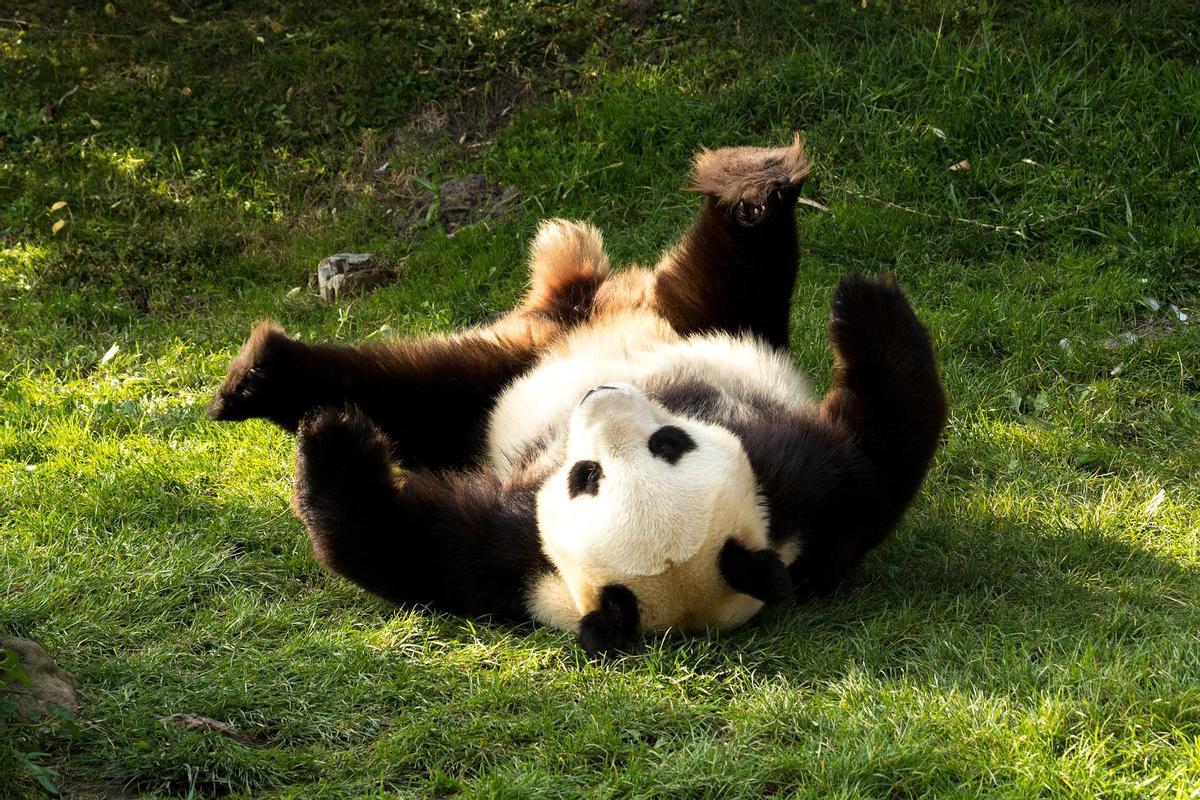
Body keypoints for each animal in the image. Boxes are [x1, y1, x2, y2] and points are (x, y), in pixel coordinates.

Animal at [207, 139, 948, 657]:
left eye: (664, 443)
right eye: (586, 476)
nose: (597, 394)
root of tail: (583, 300)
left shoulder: (802, 505)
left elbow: (877, 454)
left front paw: (335, 437)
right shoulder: (519, 562)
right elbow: (412, 548)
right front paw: (338, 437)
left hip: (604, 339)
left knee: (423, 394)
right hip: (565, 353)